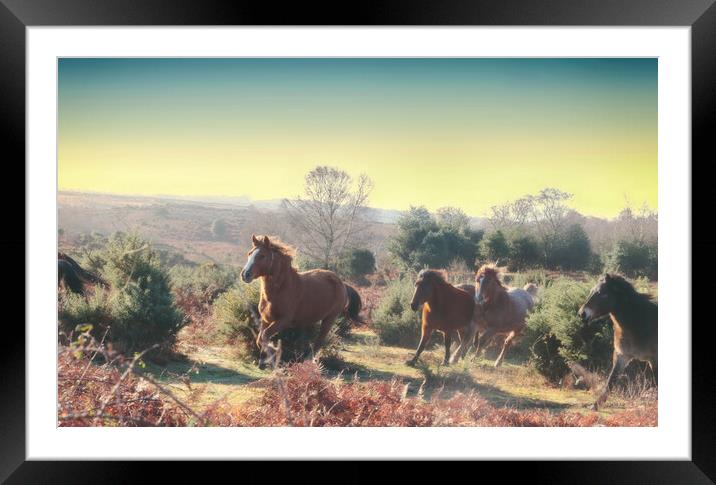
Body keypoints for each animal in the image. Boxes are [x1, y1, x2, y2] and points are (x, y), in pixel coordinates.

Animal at [242, 234, 364, 366]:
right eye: (249, 253)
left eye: (262, 256)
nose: (245, 274)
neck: (282, 288)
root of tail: (343, 284)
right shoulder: (266, 319)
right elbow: (260, 339)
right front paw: (263, 360)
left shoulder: (283, 320)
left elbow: (265, 336)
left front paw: (270, 355)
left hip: (329, 319)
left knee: (319, 342)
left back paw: (307, 360)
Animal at [580, 272, 656, 408]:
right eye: (591, 291)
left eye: (602, 293)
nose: (582, 314)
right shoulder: (622, 356)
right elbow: (611, 381)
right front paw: (595, 405)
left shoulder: (654, 359)